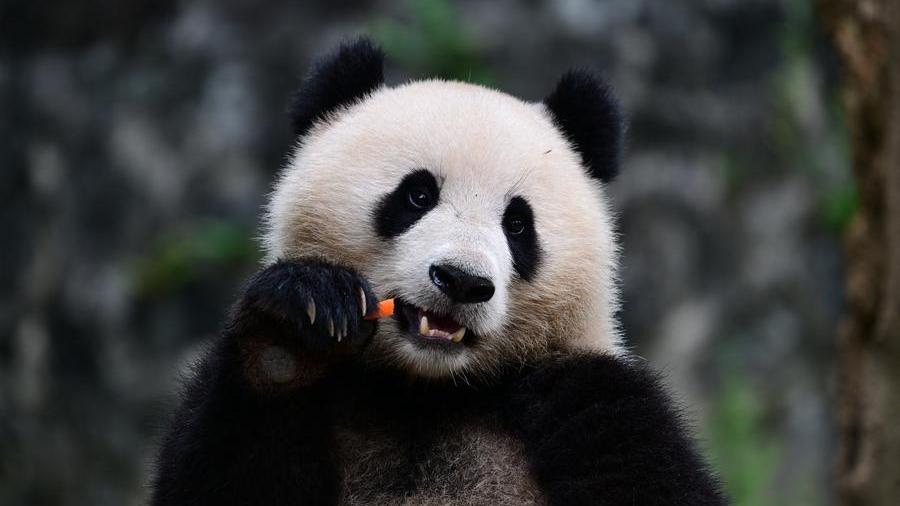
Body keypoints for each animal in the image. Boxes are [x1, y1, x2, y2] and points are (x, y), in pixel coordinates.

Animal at [148, 39, 724, 506]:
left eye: (518, 224)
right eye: (417, 195)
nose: (462, 280)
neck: (429, 392)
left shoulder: (596, 401)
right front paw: (294, 332)